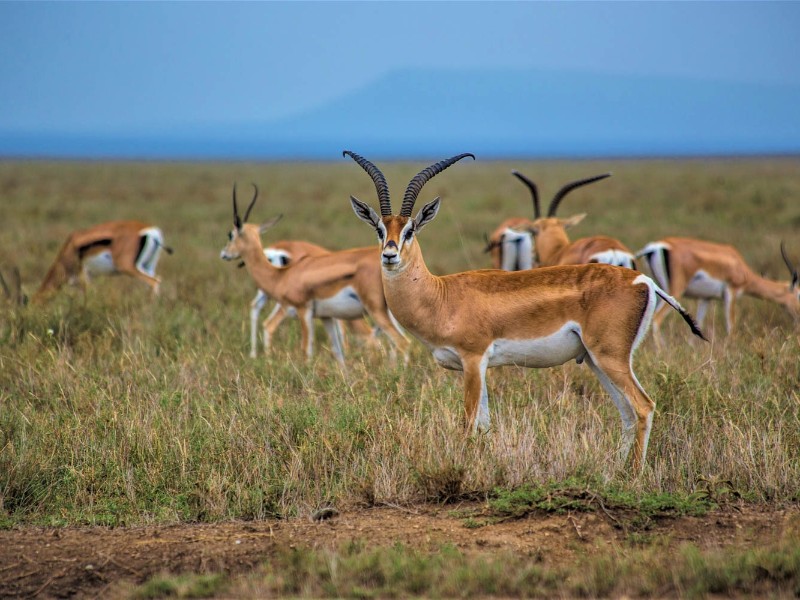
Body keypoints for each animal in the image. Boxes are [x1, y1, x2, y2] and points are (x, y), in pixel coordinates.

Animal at [34, 220, 171, 302]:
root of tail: (150, 231)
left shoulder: (83, 277)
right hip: (148, 266)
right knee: (155, 280)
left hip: (128, 267)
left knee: (154, 281)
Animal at [220, 184, 409, 366]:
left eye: (230, 235)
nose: (224, 254)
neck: (281, 275)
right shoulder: (326, 316)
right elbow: (337, 352)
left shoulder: (303, 309)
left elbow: (307, 350)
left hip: (376, 310)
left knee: (401, 342)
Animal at [636, 237, 799, 344]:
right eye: (798, 294)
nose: (798, 317)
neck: (741, 268)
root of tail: (655, 247)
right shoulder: (731, 292)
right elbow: (731, 324)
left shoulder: (706, 299)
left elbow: (699, 323)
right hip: (676, 290)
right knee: (657, 318)